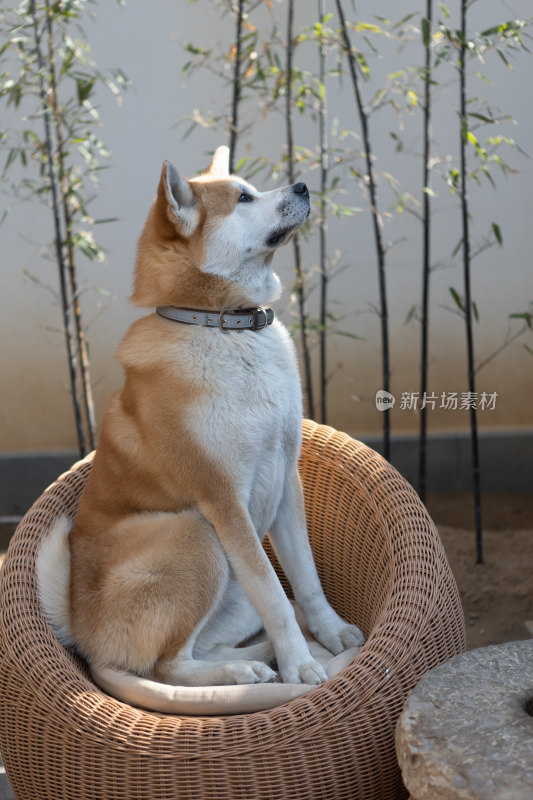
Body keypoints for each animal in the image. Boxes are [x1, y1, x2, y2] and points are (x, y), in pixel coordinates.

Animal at [35, 145, 364, 700]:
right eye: (243, 198)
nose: (301, 186)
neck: (225, 329)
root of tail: (80, 626)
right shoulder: (224, 500)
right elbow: (277, 595)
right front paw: (301, 666)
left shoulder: (286, 477)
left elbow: (305, 581)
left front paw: (330, 632)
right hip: (197, 537)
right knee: (166, 667)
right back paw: (246, 670)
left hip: (230, 590)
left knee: (198, 649)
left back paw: (258, 658)